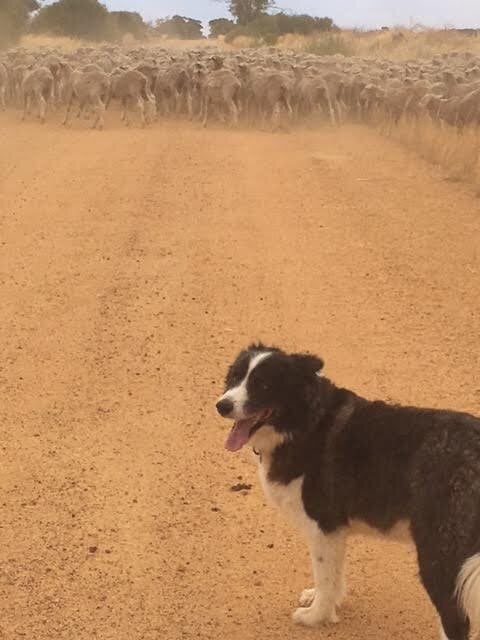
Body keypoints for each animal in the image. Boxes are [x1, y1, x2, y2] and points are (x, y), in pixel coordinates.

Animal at [217, 342, 480, 640]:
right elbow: (332, 576)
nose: (222, 405)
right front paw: (324, 602)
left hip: (438, 555)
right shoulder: (334, 531)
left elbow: (324, 575)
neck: (306, 421)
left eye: (262, 385)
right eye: (235, 377)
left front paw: (315, 616)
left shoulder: (322, 527)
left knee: (456, 621)